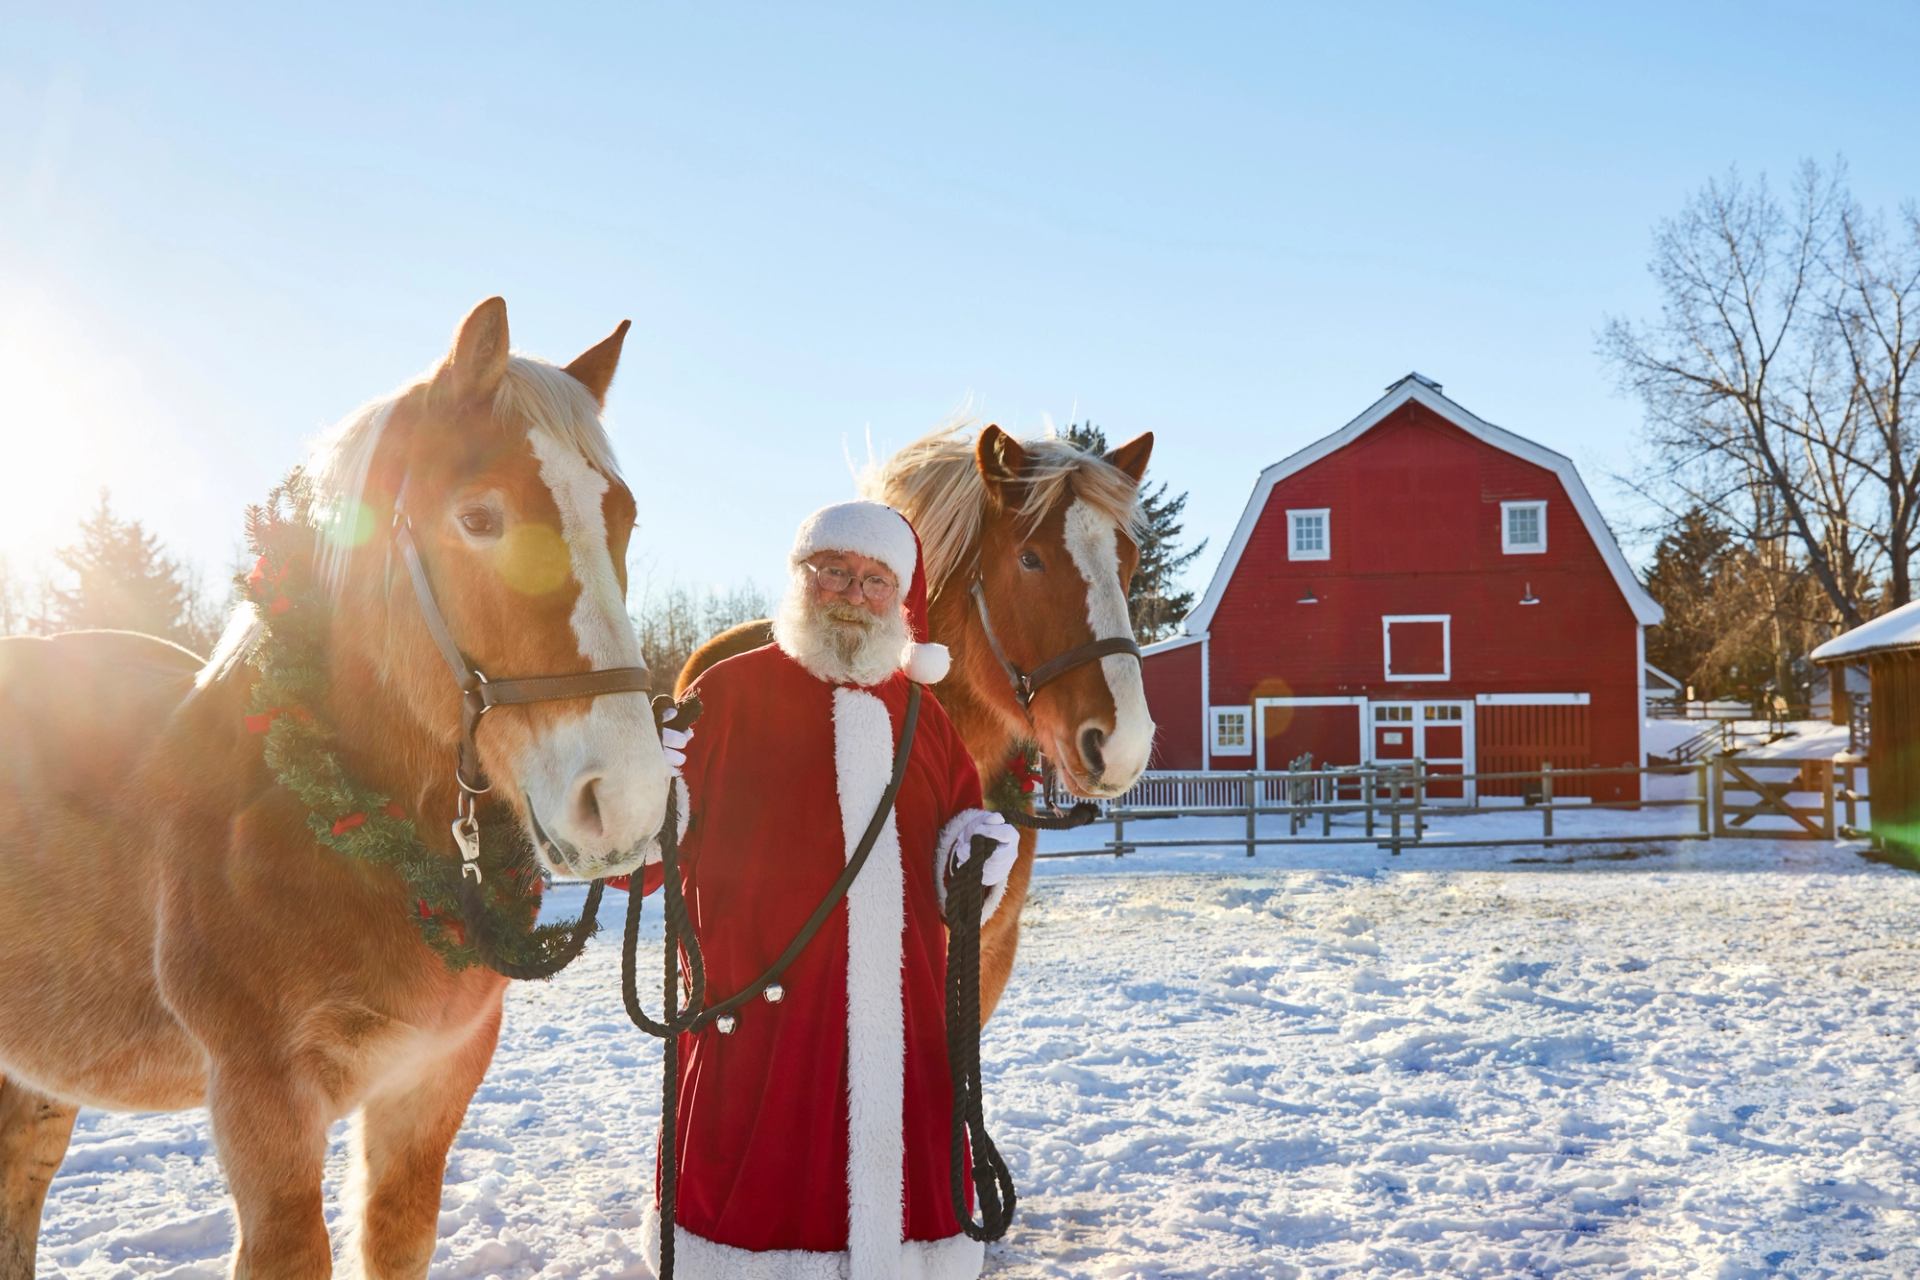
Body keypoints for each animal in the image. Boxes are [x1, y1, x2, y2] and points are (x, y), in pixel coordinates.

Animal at [0, 298, 671, 1278]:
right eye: (479, 517)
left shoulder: (431, 1083)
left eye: (622, 516)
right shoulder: (264, 1104)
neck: (338, 826)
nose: (625, 799)